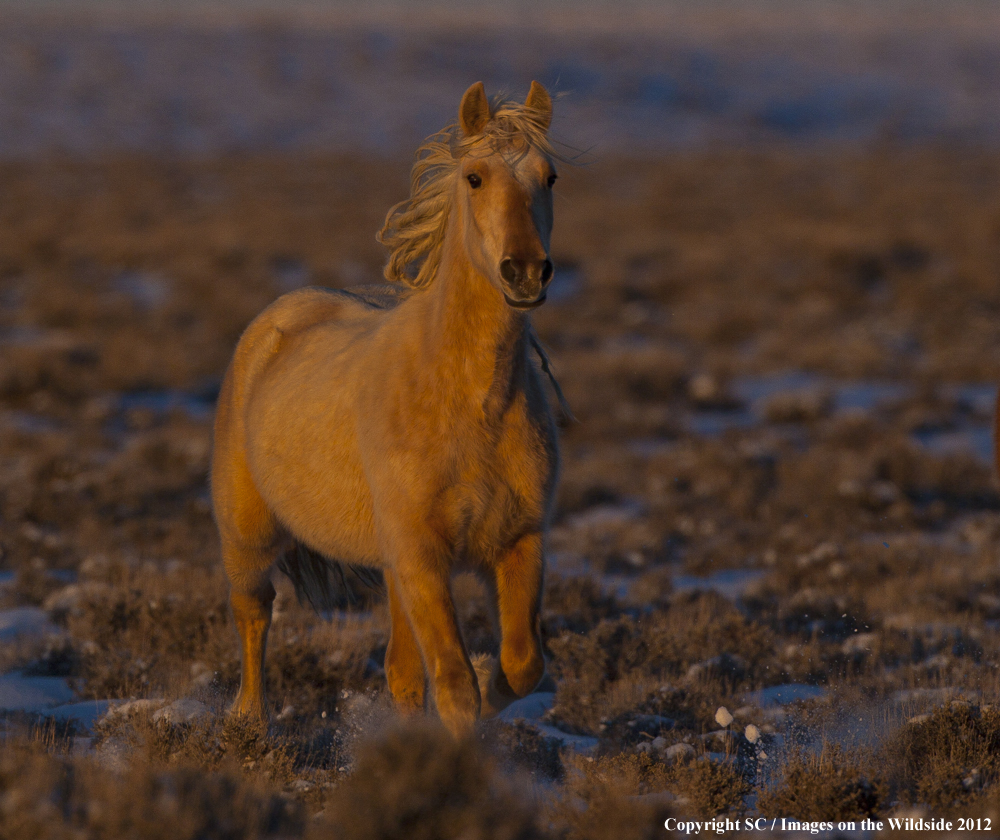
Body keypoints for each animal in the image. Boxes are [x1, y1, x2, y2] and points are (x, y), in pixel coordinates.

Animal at [211, 81, 566, 736]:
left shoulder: (519, 541)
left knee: (401, 670)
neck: (469, 402)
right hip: (246, 538)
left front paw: (491, 683)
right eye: (474, 178)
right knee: (254, 613)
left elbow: (523, 665)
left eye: (549, 177)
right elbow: (453, 685)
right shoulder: (421, 557)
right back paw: (250, 720)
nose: (525, 272)